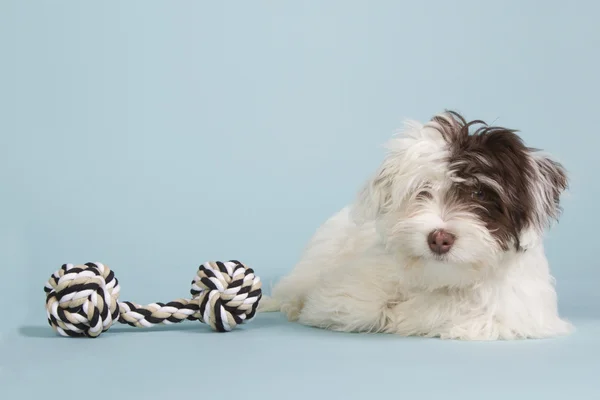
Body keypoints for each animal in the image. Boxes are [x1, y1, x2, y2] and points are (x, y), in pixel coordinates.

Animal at [262, 110, 572, 340]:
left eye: (480, 194)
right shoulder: (344, 289)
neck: (442, 279)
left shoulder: (516, 312)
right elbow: (354, 302)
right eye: (423, 191)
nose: (440, 238)